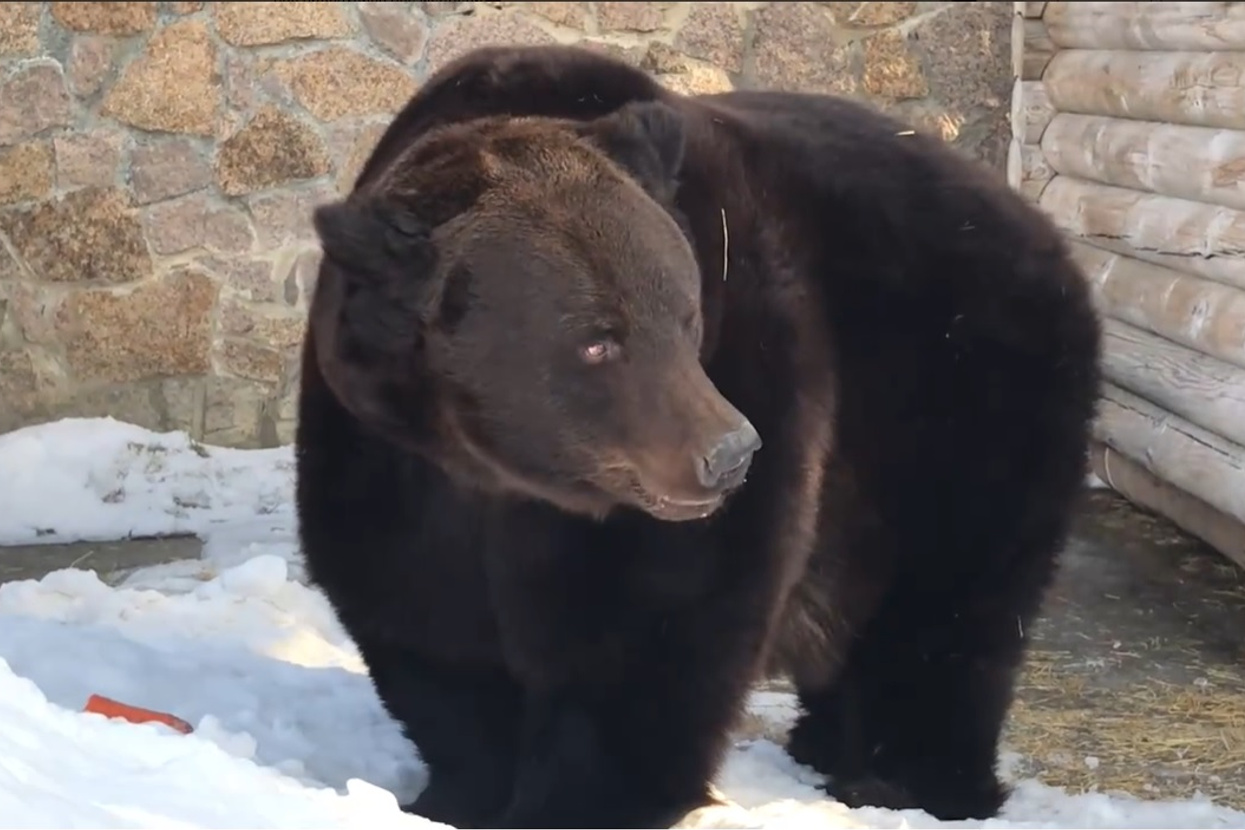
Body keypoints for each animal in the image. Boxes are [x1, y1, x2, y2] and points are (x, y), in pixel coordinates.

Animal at [293, 43, 1100, 830]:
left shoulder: (740, 373)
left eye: (685, 314)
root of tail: (1037, 224)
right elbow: (428, 629)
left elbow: (652, 633)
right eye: (597, 341)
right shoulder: (386, 455)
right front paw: (453, 794)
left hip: (960, 408)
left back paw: (909, 778)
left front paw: (579, 802)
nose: (729, 452)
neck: (500, 470)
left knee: (948, 613)